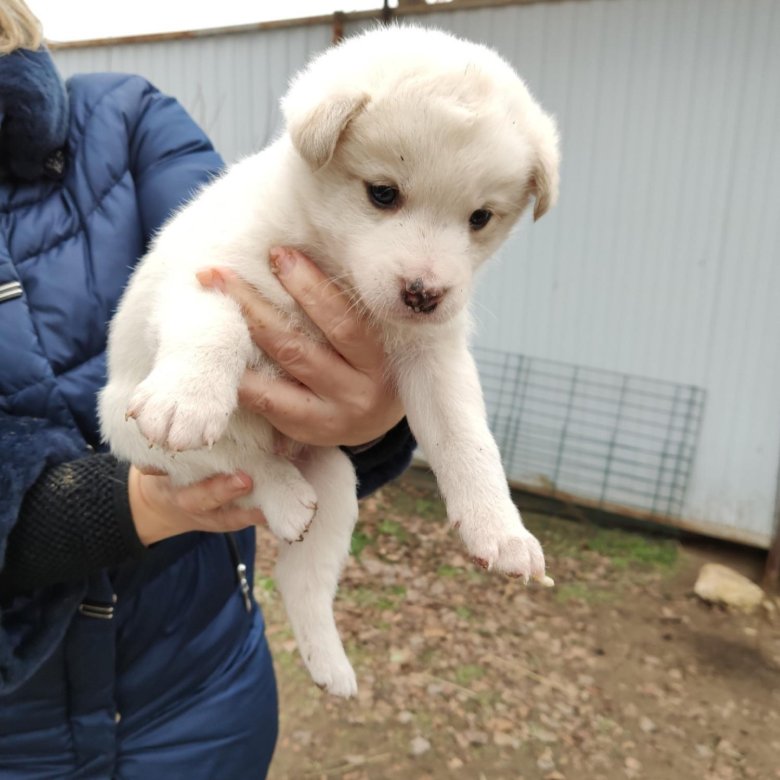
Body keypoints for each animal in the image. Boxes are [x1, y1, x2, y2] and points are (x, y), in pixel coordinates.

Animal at [100, 24, 560, 696]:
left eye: (480, 218)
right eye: (383, 193)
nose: (425, 294)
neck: (328, 260)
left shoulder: (435, 356)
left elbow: (467, 440)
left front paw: (499, 529)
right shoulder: (208, 276)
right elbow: (216, 331)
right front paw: (189, 398)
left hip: (339, 483)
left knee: (302, 582)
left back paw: (329, 663)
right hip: (134, 435)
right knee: (234, 459)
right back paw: (280, 491)